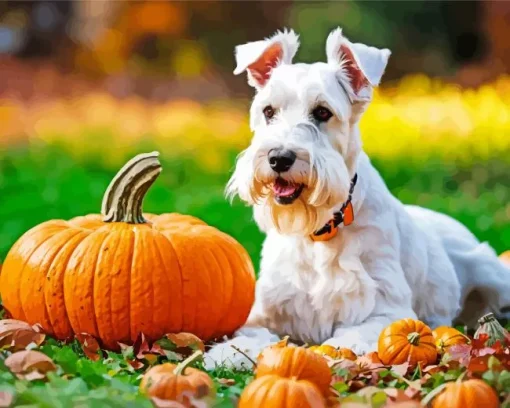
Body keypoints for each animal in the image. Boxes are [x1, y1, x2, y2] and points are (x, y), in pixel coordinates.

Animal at [203, 27, 510, 368]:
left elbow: (345, 339)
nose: (279, 158)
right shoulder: (265, 310)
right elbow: (250, 333)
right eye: (268, 111)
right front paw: (228, 352)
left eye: (322, 112)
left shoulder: (385, 311)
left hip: (492, 273)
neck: (320, 232)